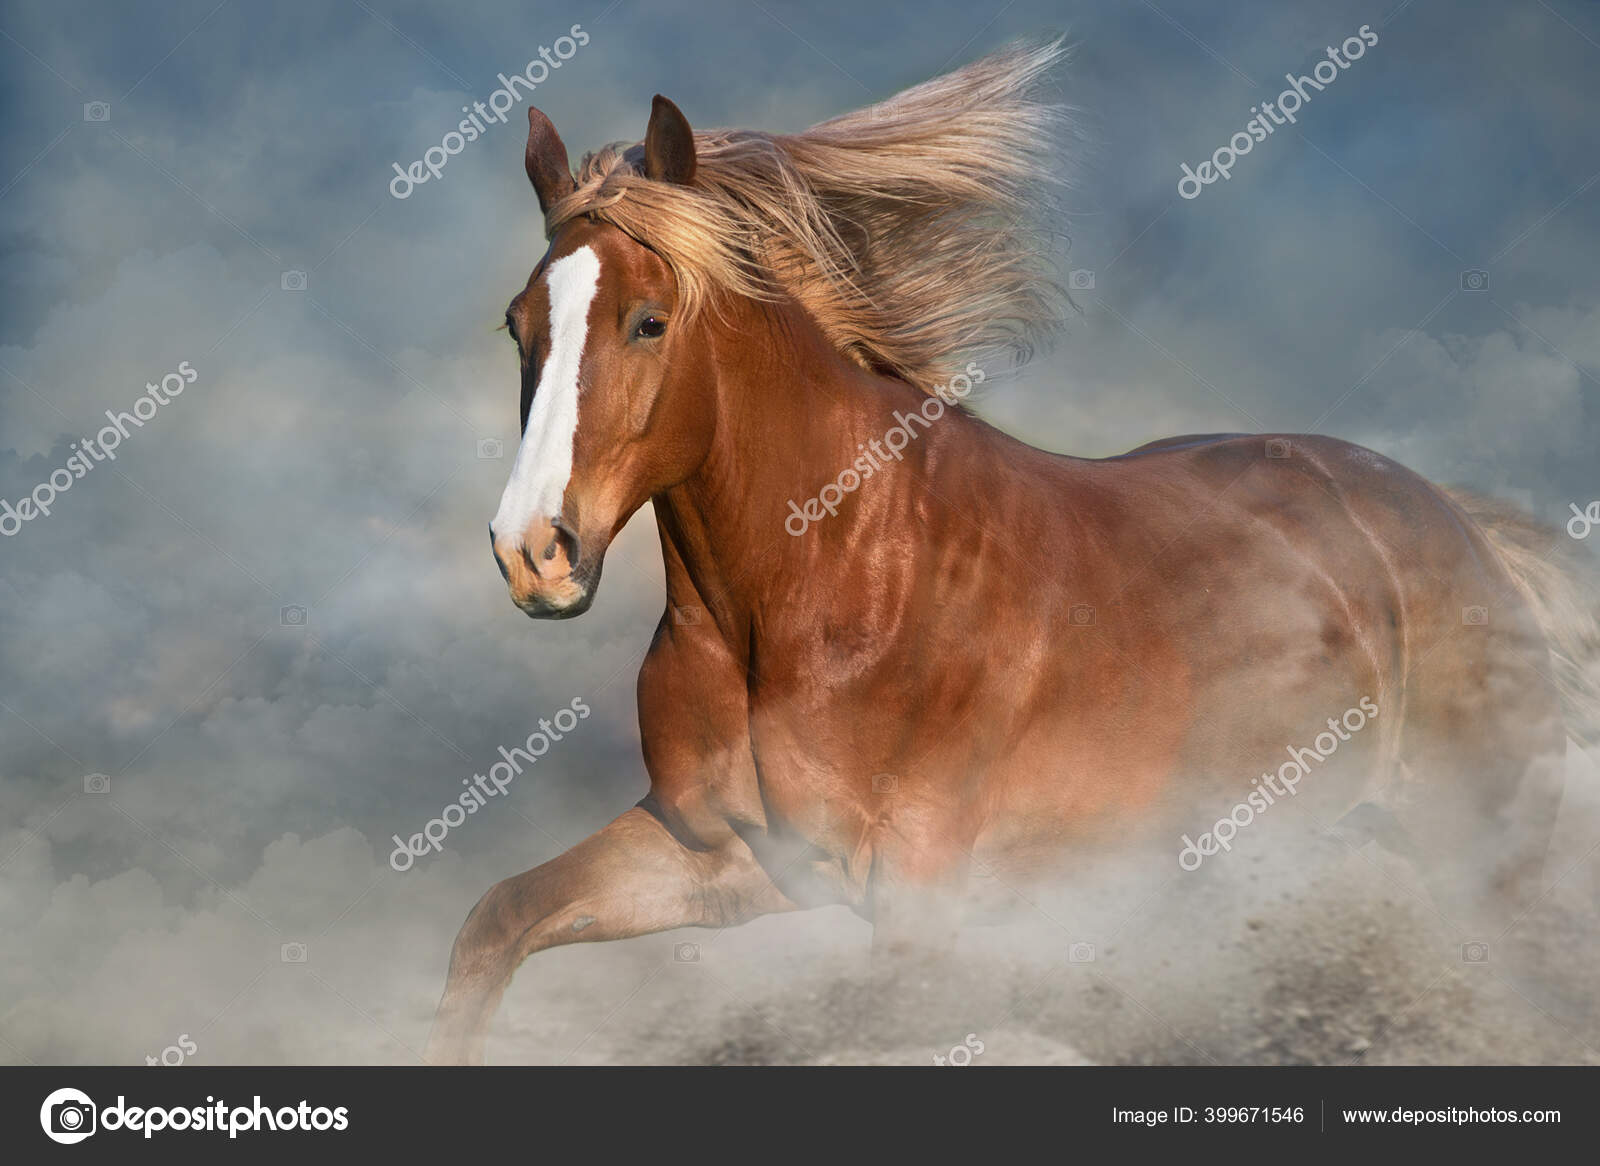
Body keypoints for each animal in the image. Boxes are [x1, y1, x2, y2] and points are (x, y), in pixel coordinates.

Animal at [424, 41, 1600, 1064]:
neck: (823, 587)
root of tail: (1455, 526)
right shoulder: (718, 857)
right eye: (518, 323)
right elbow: (494, 922)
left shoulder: (919, 898)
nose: (534, 552)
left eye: (649, 321)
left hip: (1479, 860)